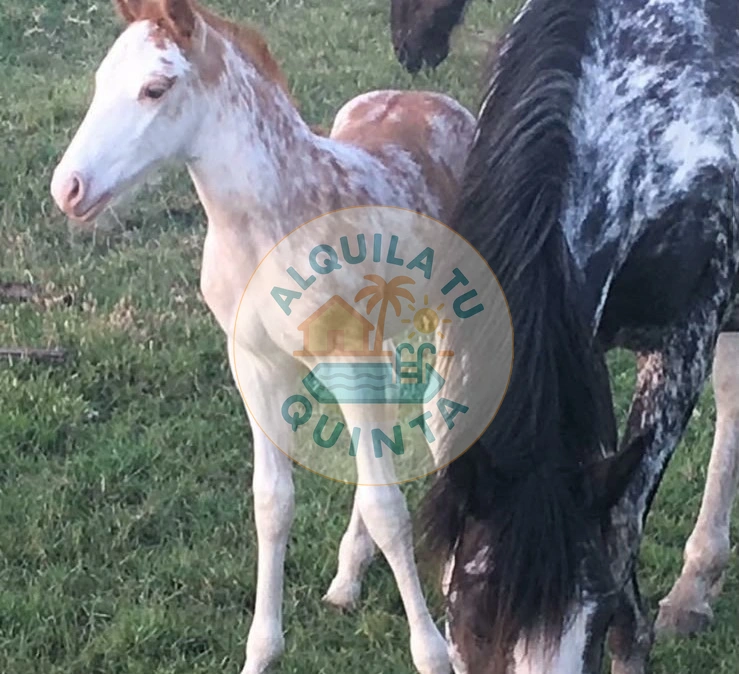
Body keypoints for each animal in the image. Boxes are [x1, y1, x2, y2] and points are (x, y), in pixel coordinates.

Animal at [50, 1, 478, 673]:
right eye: (99, 80)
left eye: (156, 88)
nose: (68, 189)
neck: (264, 229)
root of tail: (436, 99)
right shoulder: (255, 367)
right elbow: (273, 503)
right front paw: (262, 650)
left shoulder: (349, 360)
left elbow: (388, 507)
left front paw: (434, 653)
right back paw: (347, 578)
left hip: (448, 321)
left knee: (445, 422)